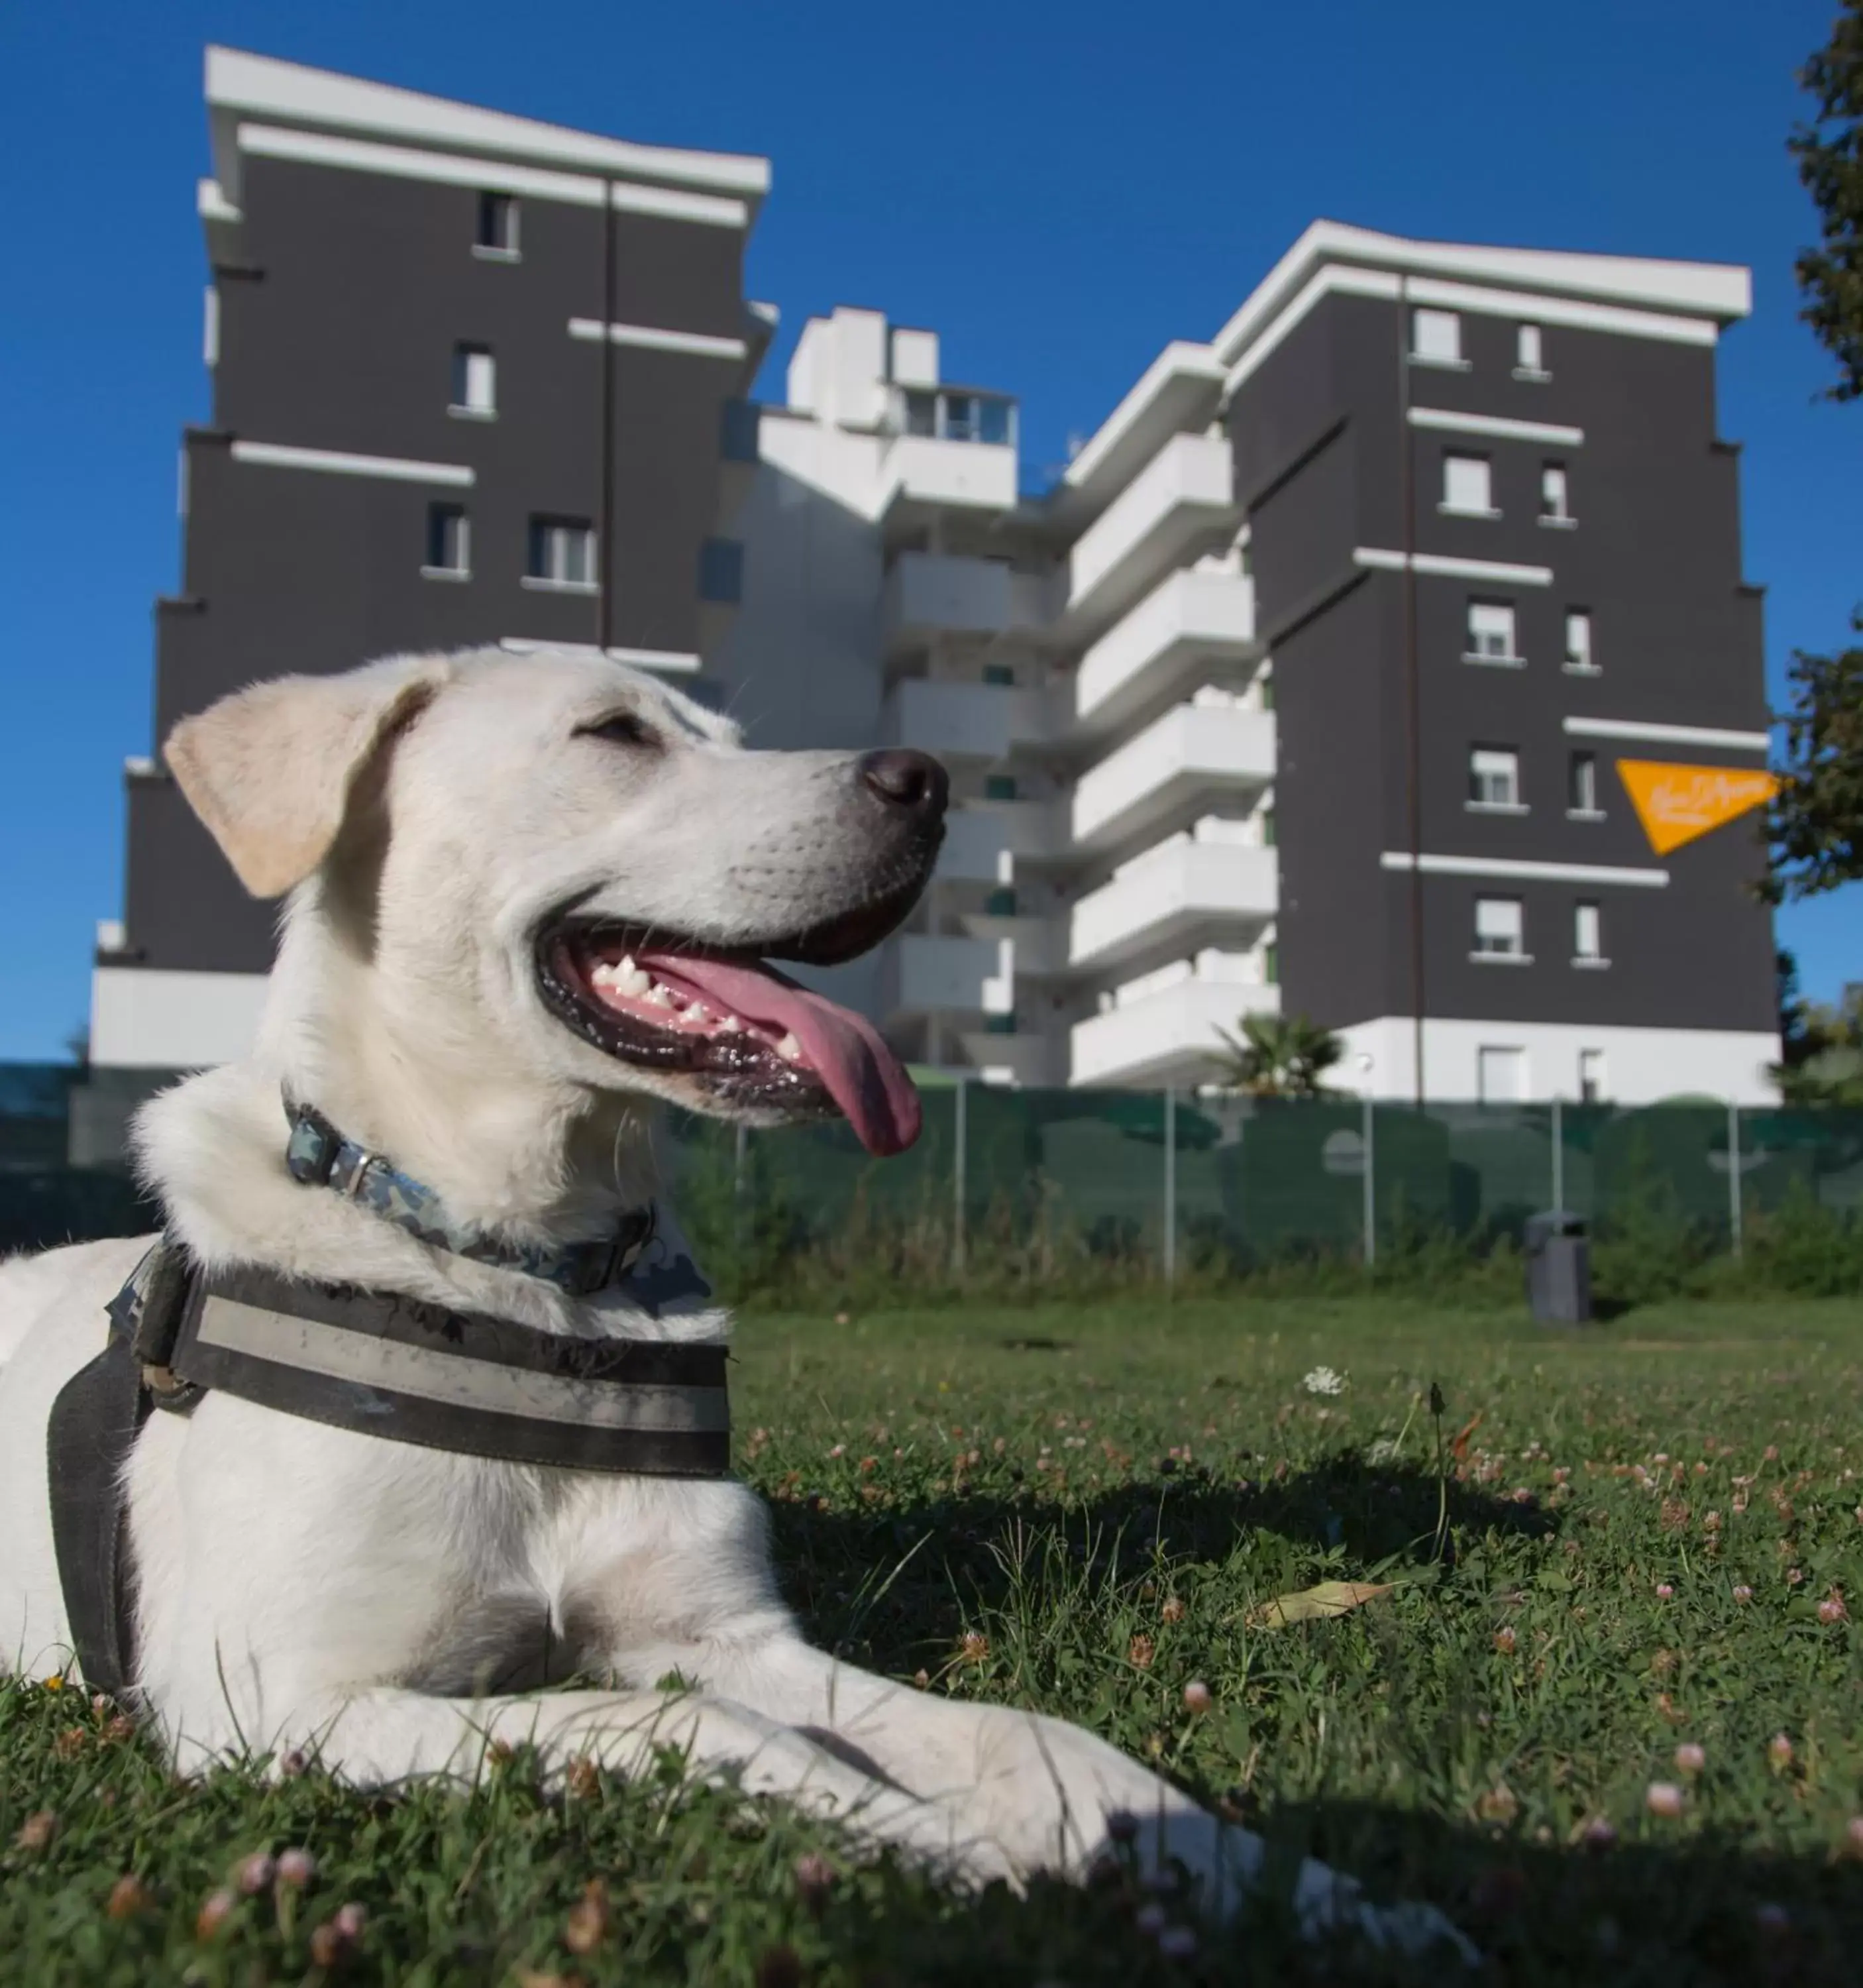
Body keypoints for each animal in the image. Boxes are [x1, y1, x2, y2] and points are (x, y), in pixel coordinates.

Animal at [0, 648, 1455, 1956]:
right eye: (614, 734)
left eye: (732, 738)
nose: (928, 783)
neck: (533, 1278)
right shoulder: (272, 1698)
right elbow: (687, 1727)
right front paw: (955, 1853)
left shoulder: (719, 1631)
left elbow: (1042, 1743)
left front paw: (1306, 1889)